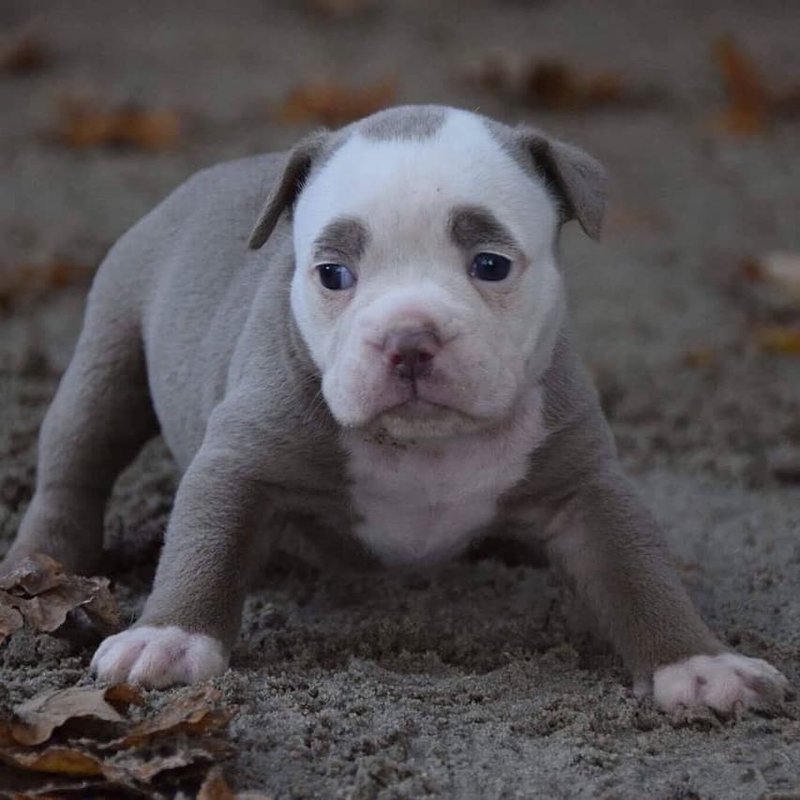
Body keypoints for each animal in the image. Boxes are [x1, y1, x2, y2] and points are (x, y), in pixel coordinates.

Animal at [1, 104, 788, 712]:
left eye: (491, 265)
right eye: (332, 275)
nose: (410, 339)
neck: (425, 444)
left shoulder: (586, 488)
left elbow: (636, 568)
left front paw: (698, 665)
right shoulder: (240, 458)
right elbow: (205, 543)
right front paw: (167, 638)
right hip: (110, 353)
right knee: (76, 464)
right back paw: (39, 569)